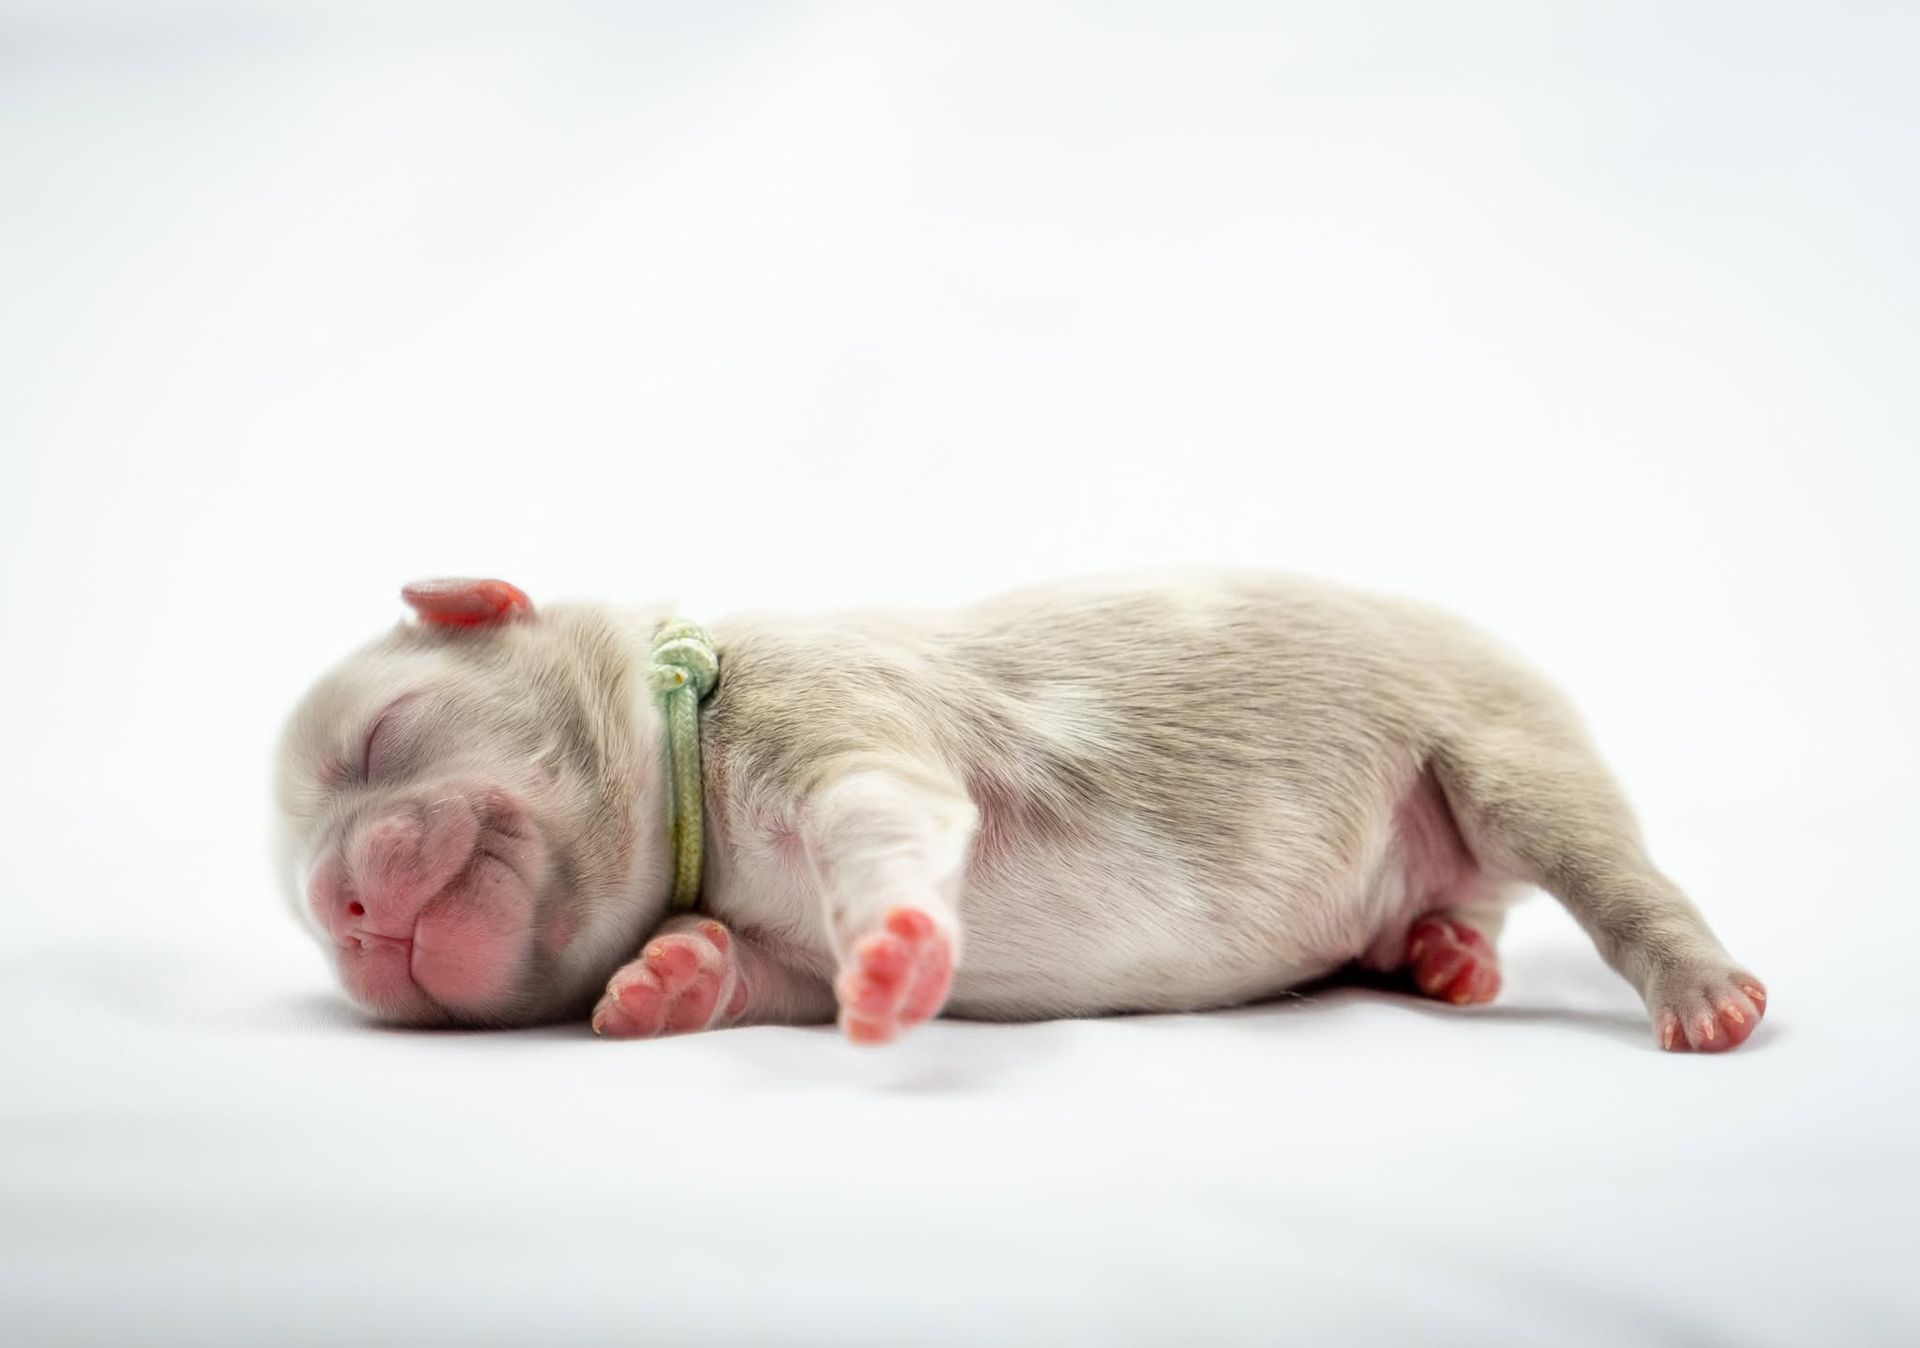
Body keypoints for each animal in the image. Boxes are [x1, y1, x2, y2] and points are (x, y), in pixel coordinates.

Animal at [273, 573, 1768, 1052]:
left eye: (383, 737)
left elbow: (884, 816)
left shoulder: (839, 717)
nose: (342, 905)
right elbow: (762, 973)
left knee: (1604, 870)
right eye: (304, 918)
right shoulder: (781, 952)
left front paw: (897, 951)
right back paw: (1441, 951)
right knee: (1464, 904)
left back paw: (1701, 992)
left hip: (1498, 744)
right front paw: (666, 979)